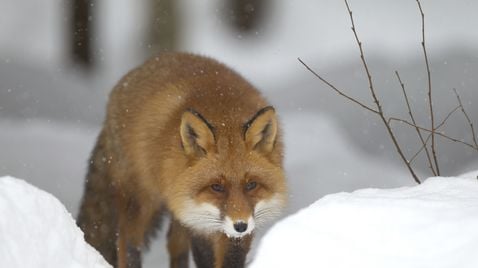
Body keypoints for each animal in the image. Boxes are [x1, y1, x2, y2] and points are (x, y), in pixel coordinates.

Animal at [77, 52, 288, 268]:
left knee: (174, 243)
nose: (240, 225)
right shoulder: (199, 221)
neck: (225, 115)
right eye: (216, 187)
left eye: (251, 185)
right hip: (141, 200)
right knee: (126, 242)